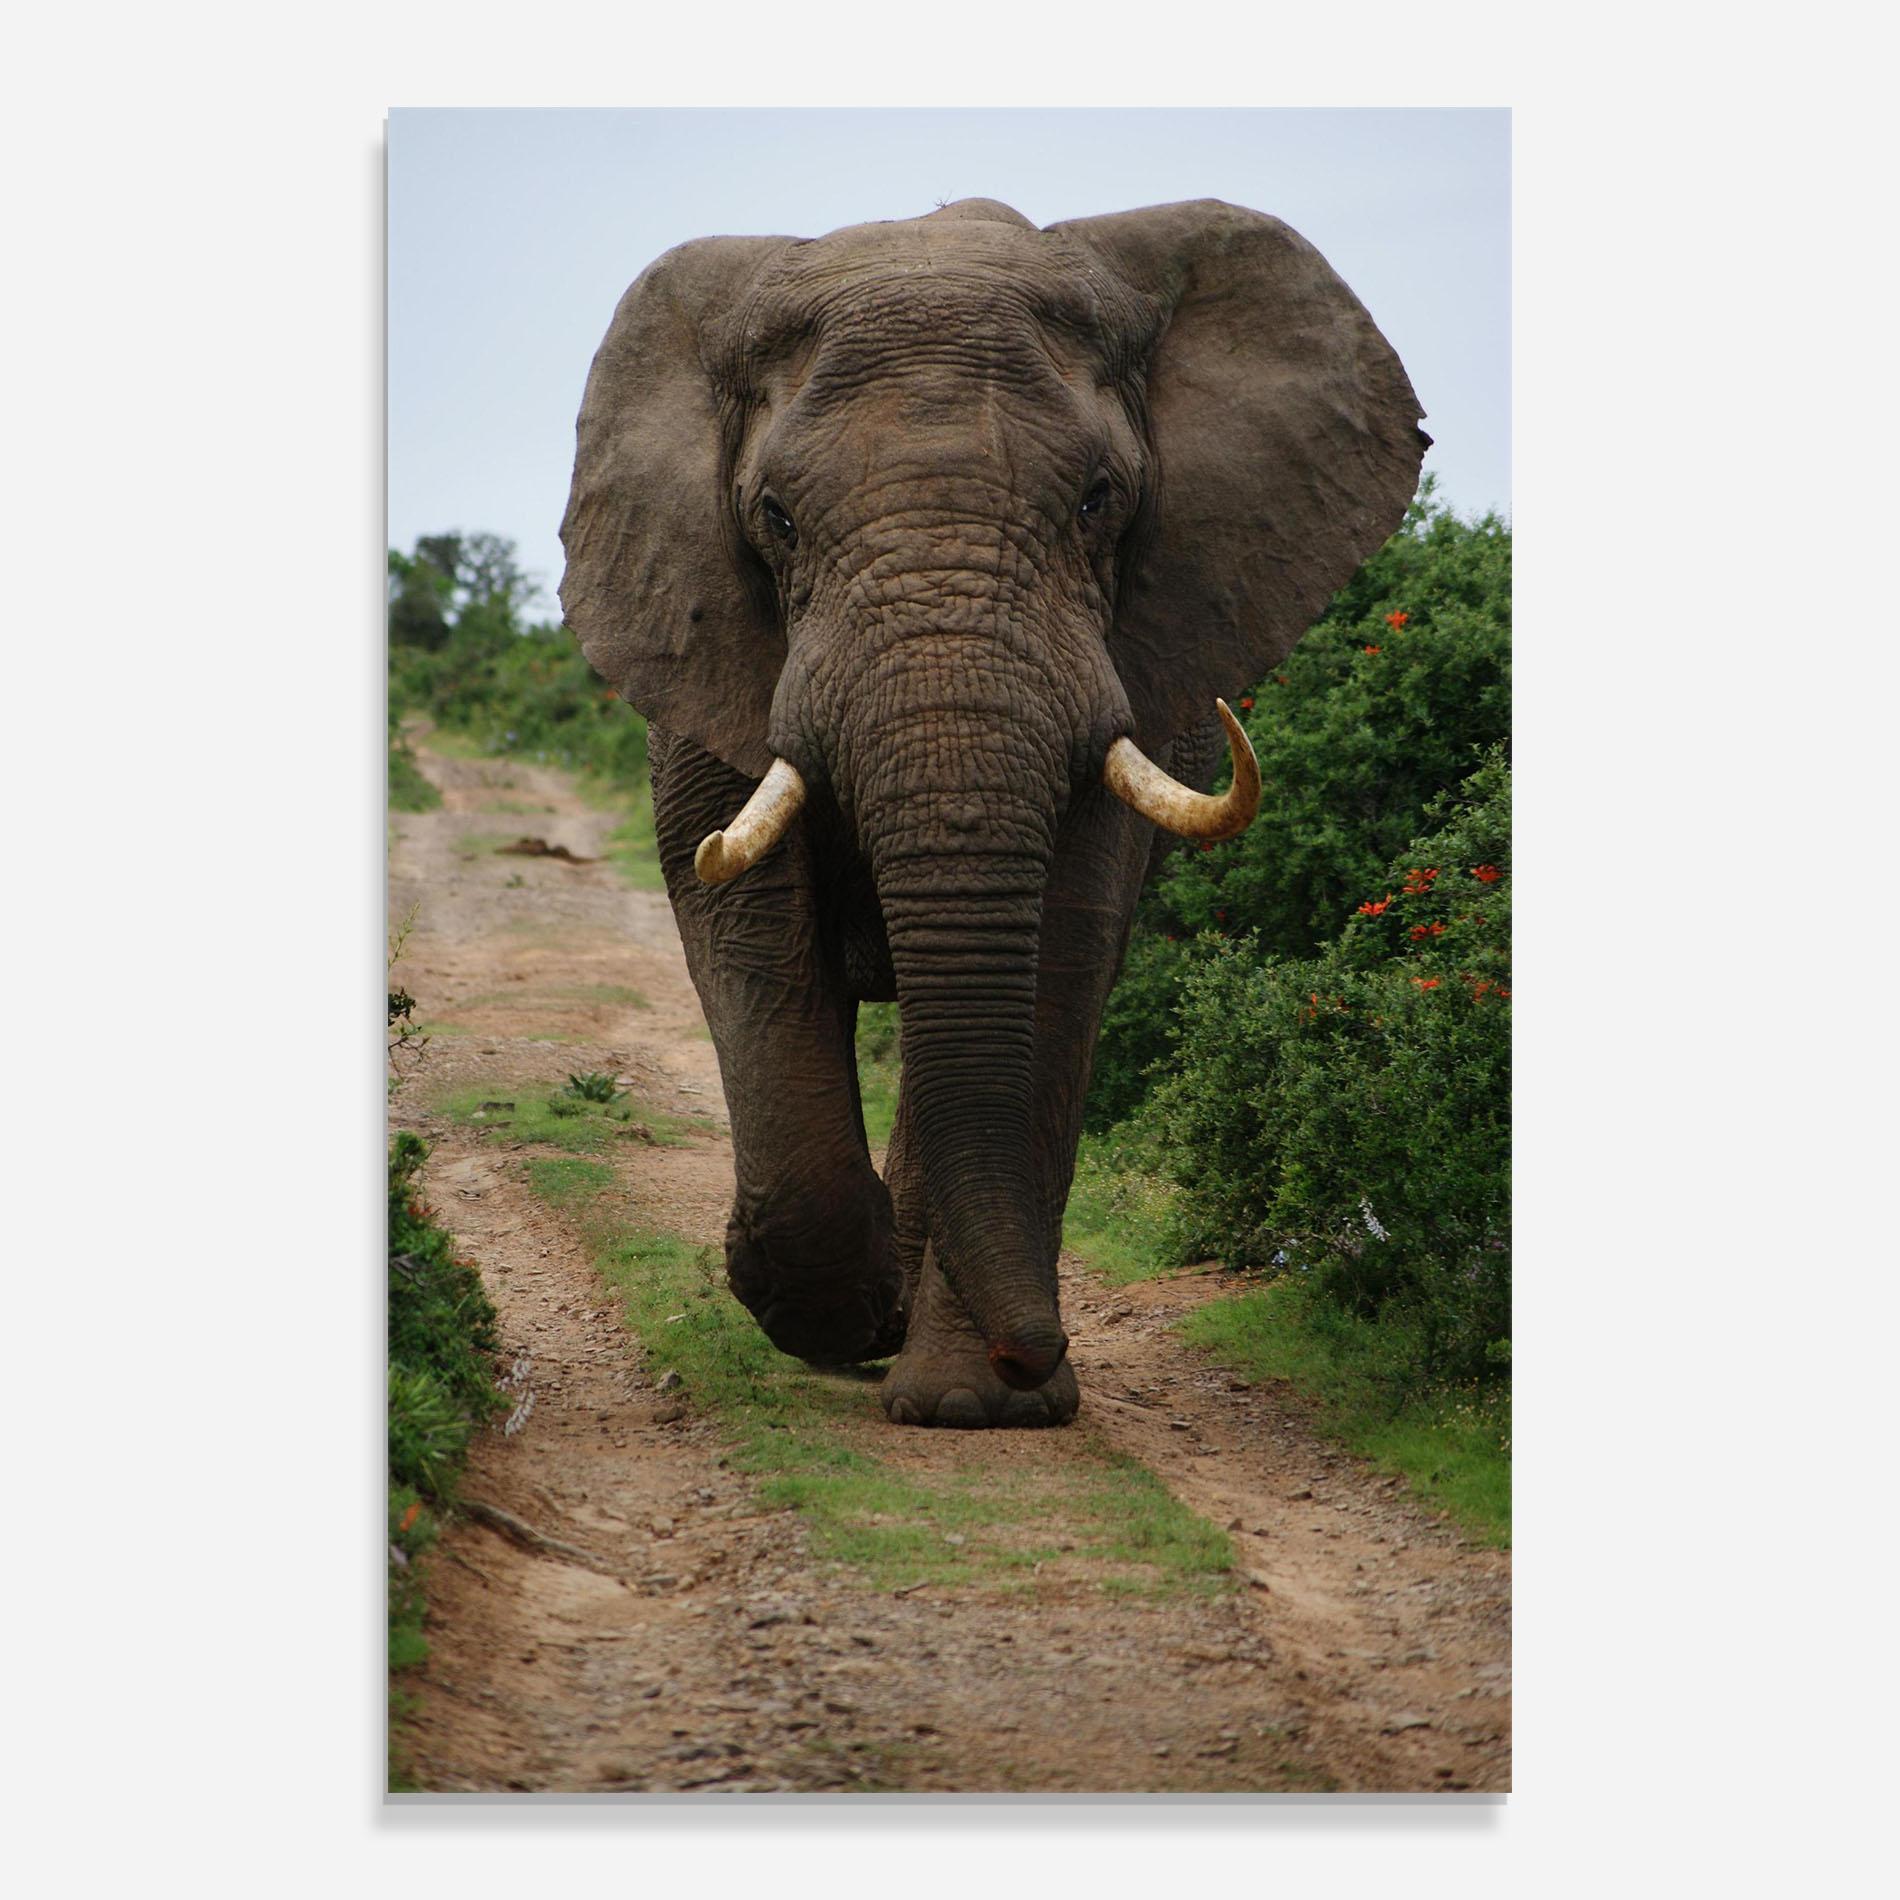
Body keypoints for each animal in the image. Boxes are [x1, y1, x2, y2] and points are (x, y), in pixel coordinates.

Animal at [559, 198, 1425, 1428]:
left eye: (1100, 500)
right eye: (774, 517)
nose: (1036, 1348)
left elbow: (1061, 946)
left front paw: (979, 1405)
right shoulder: (702, 640)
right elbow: (741, 920)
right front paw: (834, 1310)